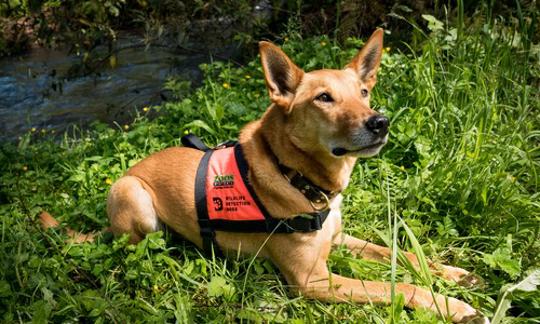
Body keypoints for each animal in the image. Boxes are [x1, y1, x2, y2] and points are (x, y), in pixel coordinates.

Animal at [45, 29, 490, 322]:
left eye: (363, 93)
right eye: (324, 98)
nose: (379, 122)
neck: (297, 175)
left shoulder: (339, 239)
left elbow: (404, 254)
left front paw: (454, 274)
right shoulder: (313, 280)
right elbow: (398, 286)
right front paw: (454, 307)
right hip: (132, 193)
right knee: (140, 246)